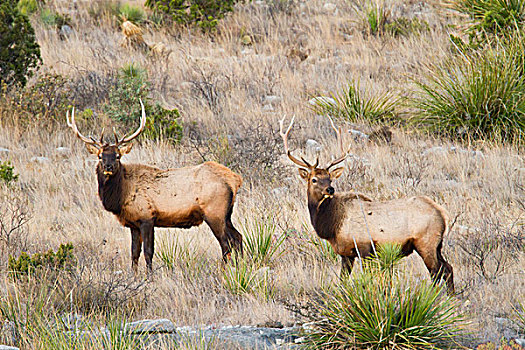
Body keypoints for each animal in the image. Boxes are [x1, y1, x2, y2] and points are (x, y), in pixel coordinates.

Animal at [66, 100, 244, 272]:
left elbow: (148, 252)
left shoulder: (147, 217)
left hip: (214, 213)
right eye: (100, 156)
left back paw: (224, 271)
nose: (108, 167)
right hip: (227, 214)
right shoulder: (133, 223)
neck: (121, 195)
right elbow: (134, 253)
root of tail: (235, 180)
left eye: (117, 156)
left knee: (226, 244)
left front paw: (149, 276)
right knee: (238, 238)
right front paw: (134, 275)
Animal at [278, 116, 454, 294]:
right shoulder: (347, 253)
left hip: (426, 242)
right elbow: (342, 280)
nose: (330, 189)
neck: (333, 225)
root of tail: (443, 215)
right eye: (314, 179)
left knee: (436, 271)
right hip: (437, 246)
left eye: (330, 178)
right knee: (448, 268)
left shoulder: (364, 247)